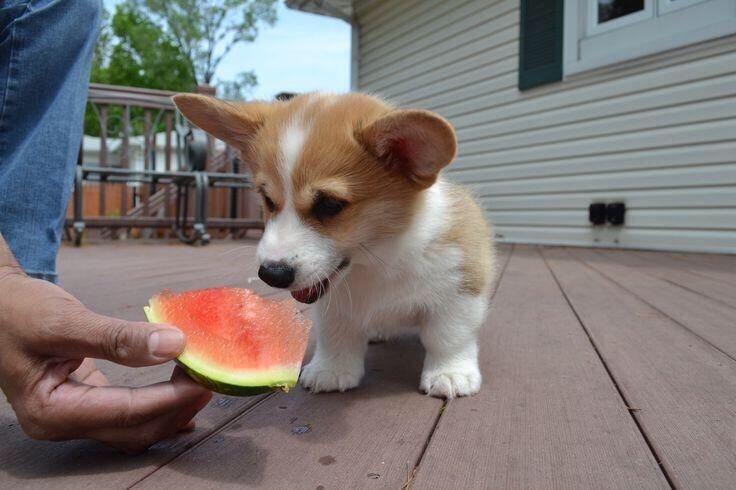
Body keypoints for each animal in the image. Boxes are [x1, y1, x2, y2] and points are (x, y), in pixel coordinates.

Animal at [172, 92, 494, 398]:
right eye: (267, 198)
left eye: (329, 204)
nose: (271, 275)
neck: (378, 261)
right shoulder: (333, 306)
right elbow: (336, 337)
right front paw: (331, 371)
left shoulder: (459, 290)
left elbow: (448, 337)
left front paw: (449, 374)